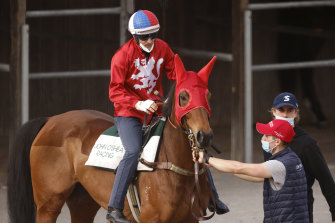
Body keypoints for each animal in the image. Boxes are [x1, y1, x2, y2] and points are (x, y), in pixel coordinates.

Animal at [7, 54, 218, 223]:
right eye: (183, 97)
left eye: (208, 95)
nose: (204, 136)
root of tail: (50, 120)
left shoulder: (190, 220)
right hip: (48, 205)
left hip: (83, 202)